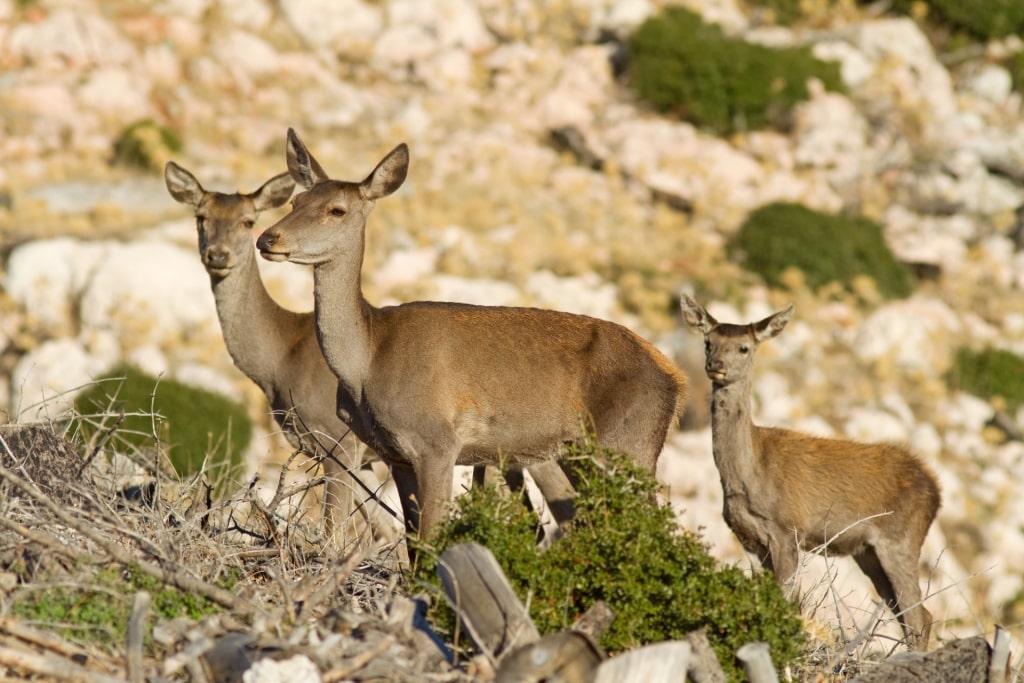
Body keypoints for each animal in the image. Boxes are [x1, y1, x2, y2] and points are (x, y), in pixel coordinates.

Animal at [164, 162, 380, 548]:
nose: (217, 255)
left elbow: (335, 532)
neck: (280, 363)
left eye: (248, 220)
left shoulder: (339, 440)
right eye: (201, 216)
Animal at [254, 129, 688, 540]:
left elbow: (432, 536)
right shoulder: (395, 455)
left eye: (336, 209)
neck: (367, 362)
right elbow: (414, 545)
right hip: (581, 454)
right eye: (294, 202)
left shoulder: (436, 441)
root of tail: (675, 380)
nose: (267, 238)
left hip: (628, 443)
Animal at [684, 294, 937, 651]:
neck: (748, 477)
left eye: (744, 347)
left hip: (901, 540)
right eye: (709, 342)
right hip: (869, 553)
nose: (715, 365)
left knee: (918, 616)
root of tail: (935, 490)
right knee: (909, 613)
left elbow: (786, 602)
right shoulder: (751, 541)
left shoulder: (787, 530)